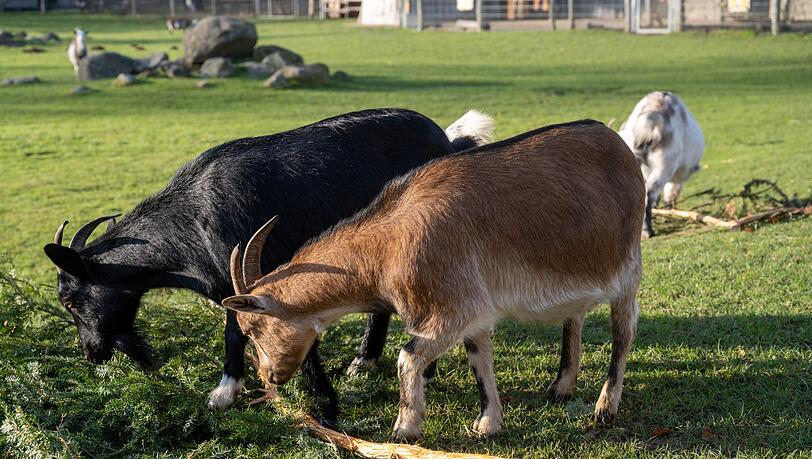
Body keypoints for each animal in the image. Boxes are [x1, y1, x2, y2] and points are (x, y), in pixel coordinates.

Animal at [43, 108, 494, 425]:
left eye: (71, 301)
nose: (92, 354)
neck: (192, 219)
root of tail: (447, 141)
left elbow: (259, 334)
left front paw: (322, 406)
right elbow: (236, 333)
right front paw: (230, 391)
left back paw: (420, 368)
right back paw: (364, 364)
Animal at [222, 120, 645, 441]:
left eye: (253, 326)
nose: (269, 375)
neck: (387, 244)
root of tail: (618, 145)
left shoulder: (451, 307)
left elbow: (408, 357)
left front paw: (405, 429)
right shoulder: (473, 309)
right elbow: (479, 359)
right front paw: (488, 424)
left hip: (628, 270)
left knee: (623, 334)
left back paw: (605, 408)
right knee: (575, 318)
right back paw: (561, 387)